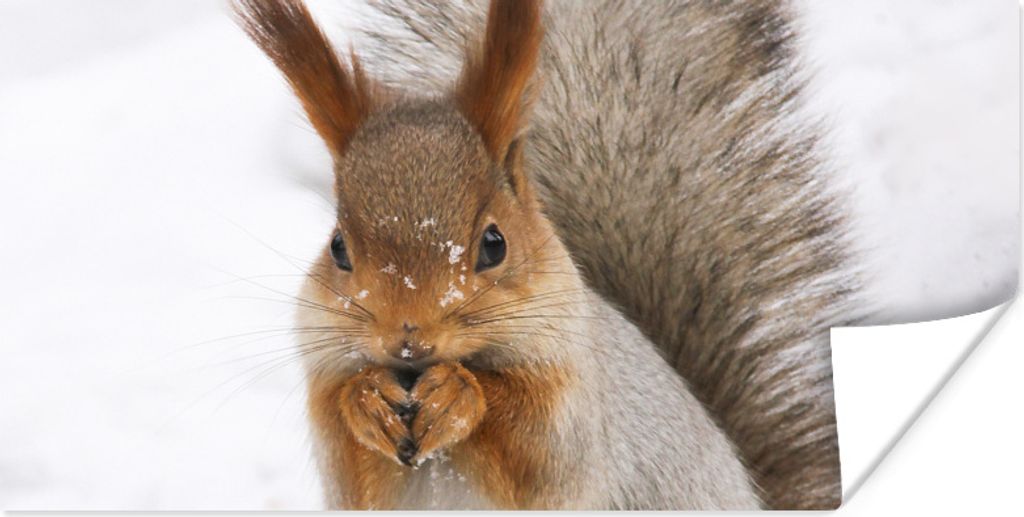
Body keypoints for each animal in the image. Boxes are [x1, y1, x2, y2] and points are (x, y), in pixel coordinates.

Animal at [234, 0, 857, 510]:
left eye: (494, 244)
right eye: (338, 247)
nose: (407, 337)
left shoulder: (574, 398)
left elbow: (532, 450)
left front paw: (459, 394)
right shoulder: (325, 386)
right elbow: (352, 455)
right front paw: (367, 398)